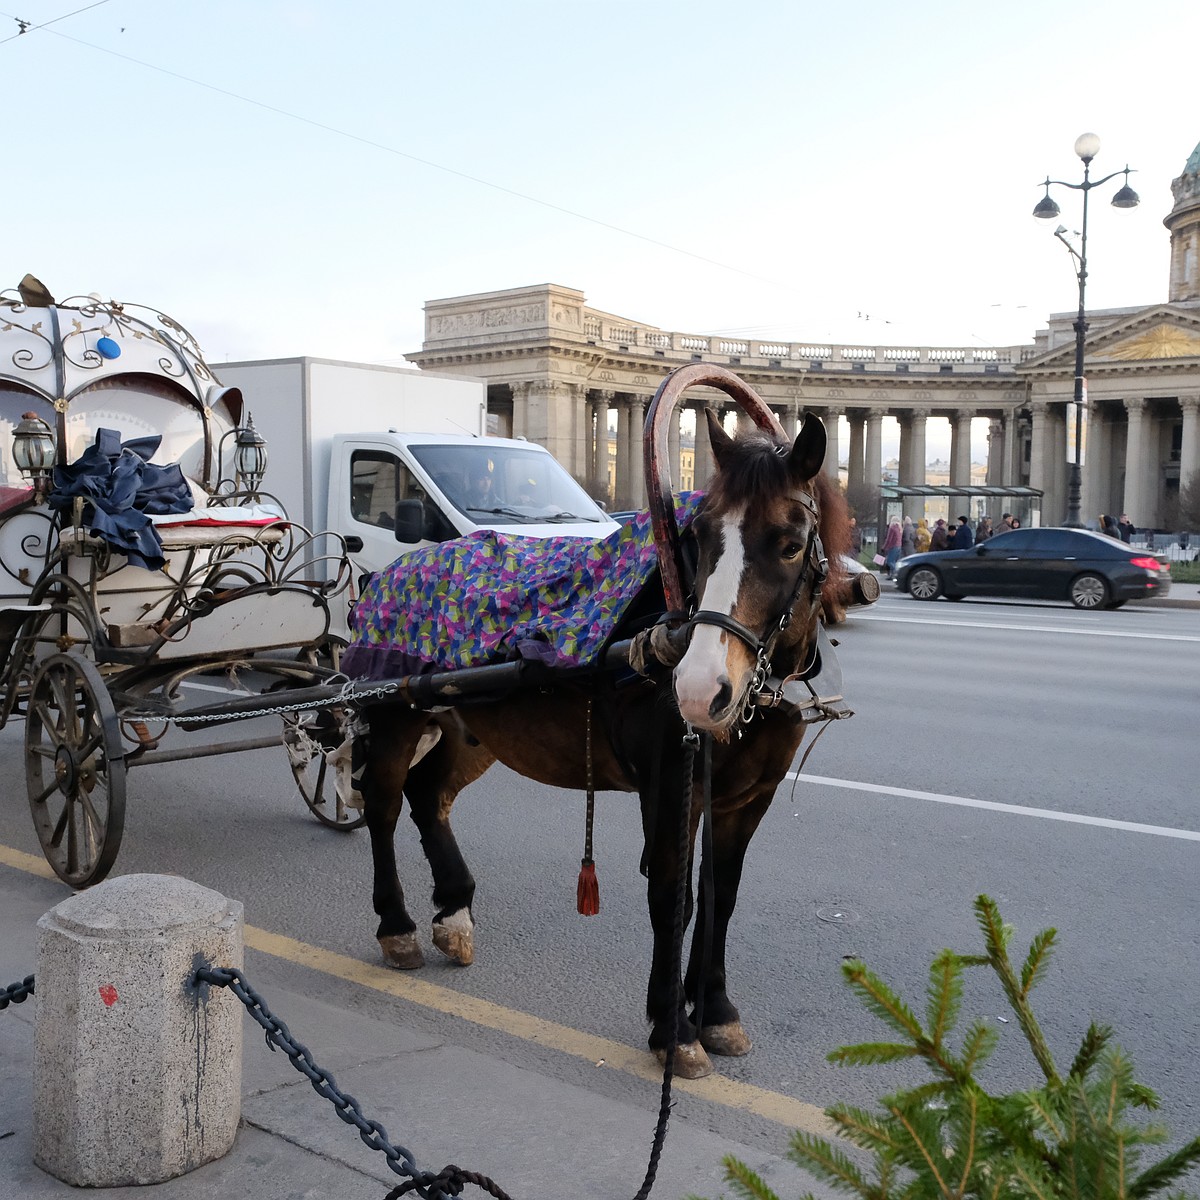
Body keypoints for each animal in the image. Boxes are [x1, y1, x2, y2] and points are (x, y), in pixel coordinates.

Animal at [350, 400, 849, 1080]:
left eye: (792, 544)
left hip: (471, 729)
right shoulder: (671, 786)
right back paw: (396, 925)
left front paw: (715, 1010)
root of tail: (391, 570)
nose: (700, 690)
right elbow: (674, 894)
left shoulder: (748, 800)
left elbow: (721, 895)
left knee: (429, 797)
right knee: (382, 803)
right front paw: (673, 1028)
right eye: (700, 538)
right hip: (395, 716)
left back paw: (454, 912)